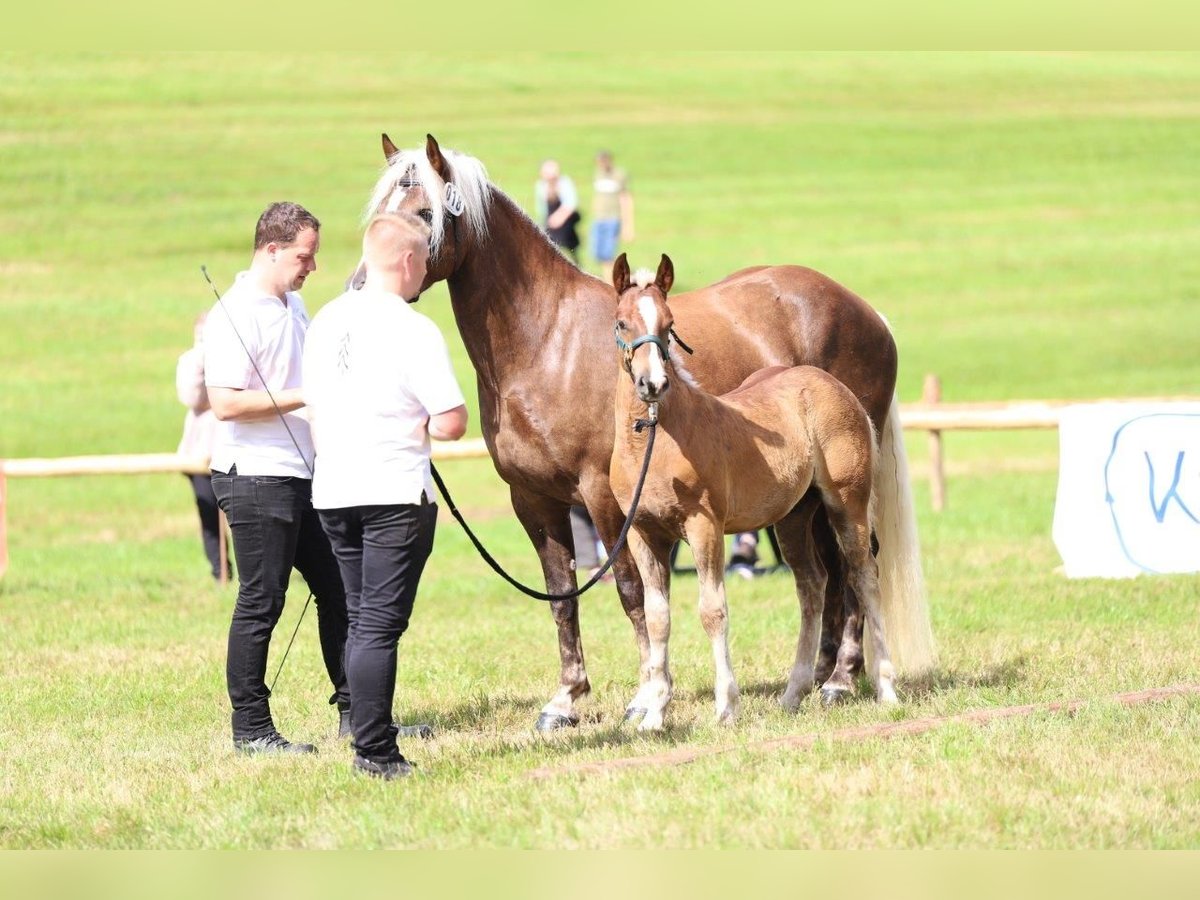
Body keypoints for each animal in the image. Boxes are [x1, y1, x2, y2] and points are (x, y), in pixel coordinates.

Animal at [609, 254, 897, 729]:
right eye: (622, 322)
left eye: (670, 323)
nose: (653, 384)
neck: (656, 440)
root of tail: (831, 385)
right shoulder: (642, 534)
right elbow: (657, 617)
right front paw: (654, 714)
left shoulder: (704, 525)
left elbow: (712, 610)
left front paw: (726, 706)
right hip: (794, 516)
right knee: (812, 585)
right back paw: (793, 694)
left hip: (846, 504)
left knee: (863, 576)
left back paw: (881, 688)